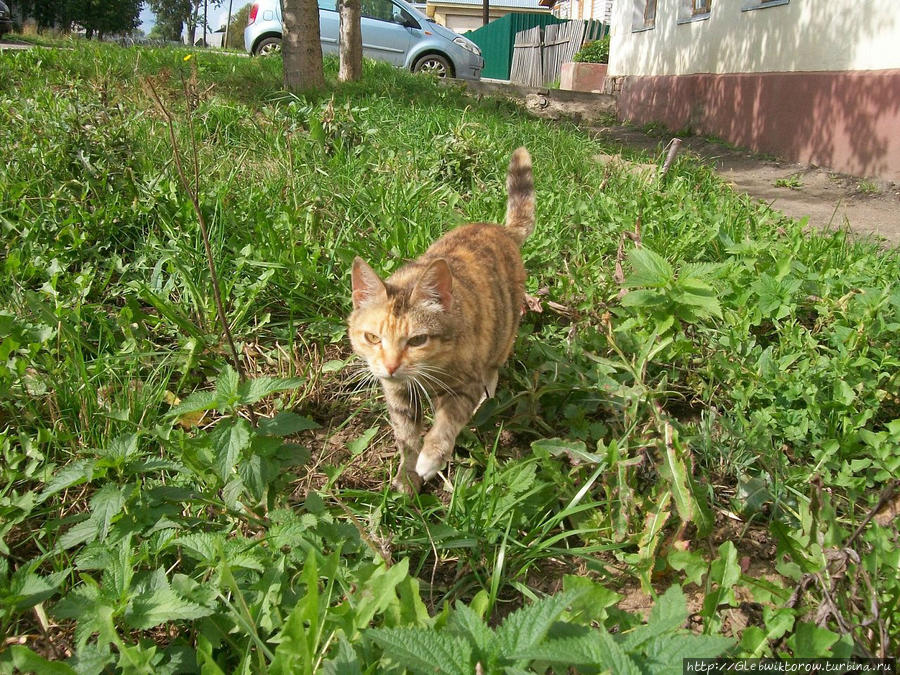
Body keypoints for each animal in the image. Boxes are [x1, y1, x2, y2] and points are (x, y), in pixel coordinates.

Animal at [348, 148, 536, 494]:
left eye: (418, 340)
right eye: (372, 338)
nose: (391, 366)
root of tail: (501, 230)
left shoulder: (464, 385)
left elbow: (447, 423)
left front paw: (430, 459)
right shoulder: (397, 393)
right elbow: (406, 436)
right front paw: (408, 476)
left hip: (504, 331)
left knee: (494, 367)